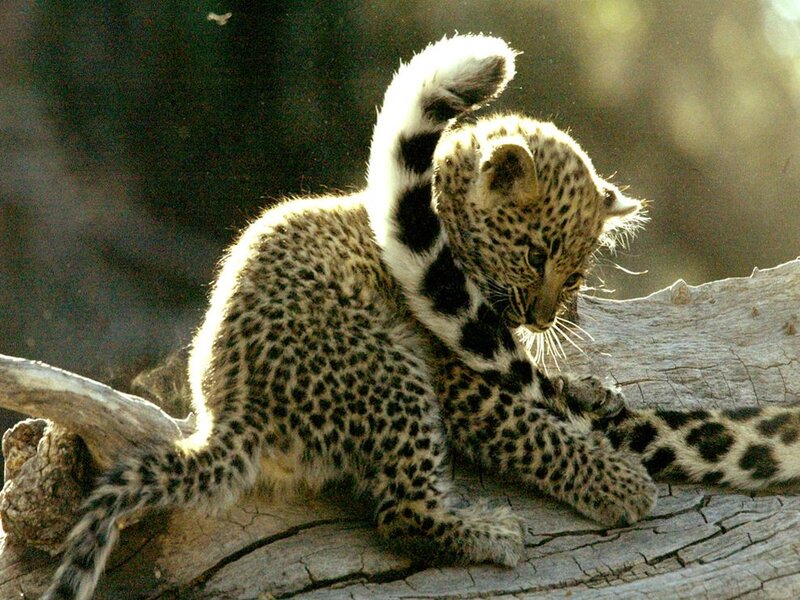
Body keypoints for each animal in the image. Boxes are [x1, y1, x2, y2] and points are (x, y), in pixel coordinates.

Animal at [44, 34, 800, 600]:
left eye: (577, 272)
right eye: (535, 255)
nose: (543, 316)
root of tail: (235, 414)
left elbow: (552, 393)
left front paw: (595, 393)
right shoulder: (459, 373)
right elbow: (534, 430)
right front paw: (618, 481)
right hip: (388, 368)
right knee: (401, 513)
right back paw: (492, 533)